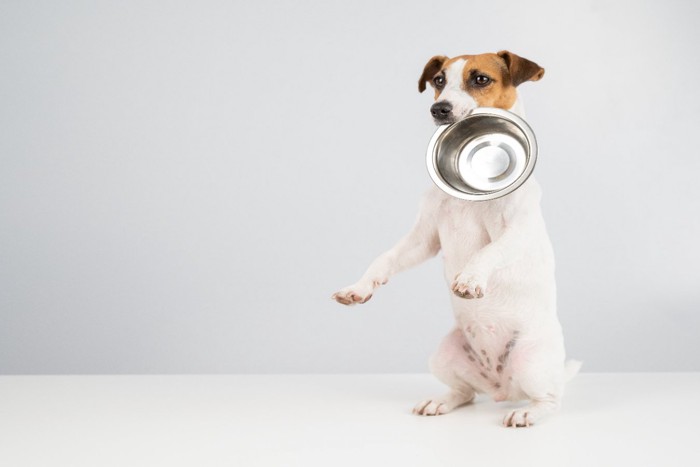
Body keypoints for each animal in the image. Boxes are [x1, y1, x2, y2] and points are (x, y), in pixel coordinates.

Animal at [334, 50, 580, 428]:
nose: (439, 109)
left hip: (531, 360)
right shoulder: (425, 239)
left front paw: (470, 279)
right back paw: (441, 401)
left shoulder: (518, 232)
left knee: (552, 399)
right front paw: (358, 288)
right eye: (439, 81)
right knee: (465, 393)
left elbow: (489, 251)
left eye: (480, 79)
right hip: (444, 355)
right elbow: (385, 258)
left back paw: (527, 411)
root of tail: (501, 387)